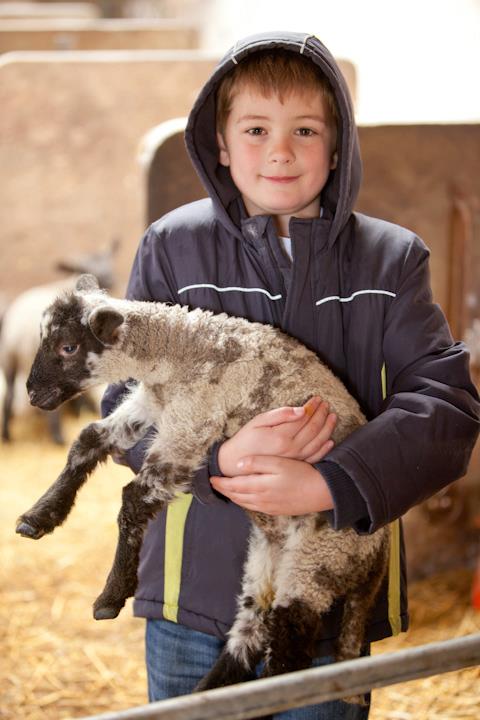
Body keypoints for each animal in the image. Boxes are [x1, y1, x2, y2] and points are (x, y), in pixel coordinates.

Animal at [0, 241, 118, 444]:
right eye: (82, 267)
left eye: (108, 260)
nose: (110, 279)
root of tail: (17, 332)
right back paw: (58, 437)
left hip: (8, 359)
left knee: (8, 397)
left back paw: (7, 436)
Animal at [16, 274, 389, 693]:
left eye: (68, 347)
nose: (33, 394)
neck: (180, 347)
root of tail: (379, 555)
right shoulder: (152, 405)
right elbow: (88, 439)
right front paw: (39, 517)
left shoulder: (192, 422)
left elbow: (133, 499)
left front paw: (111, 596)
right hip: (268, 560)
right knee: (249, 633)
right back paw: (207, 694)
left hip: (318, 561)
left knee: (291, 647)